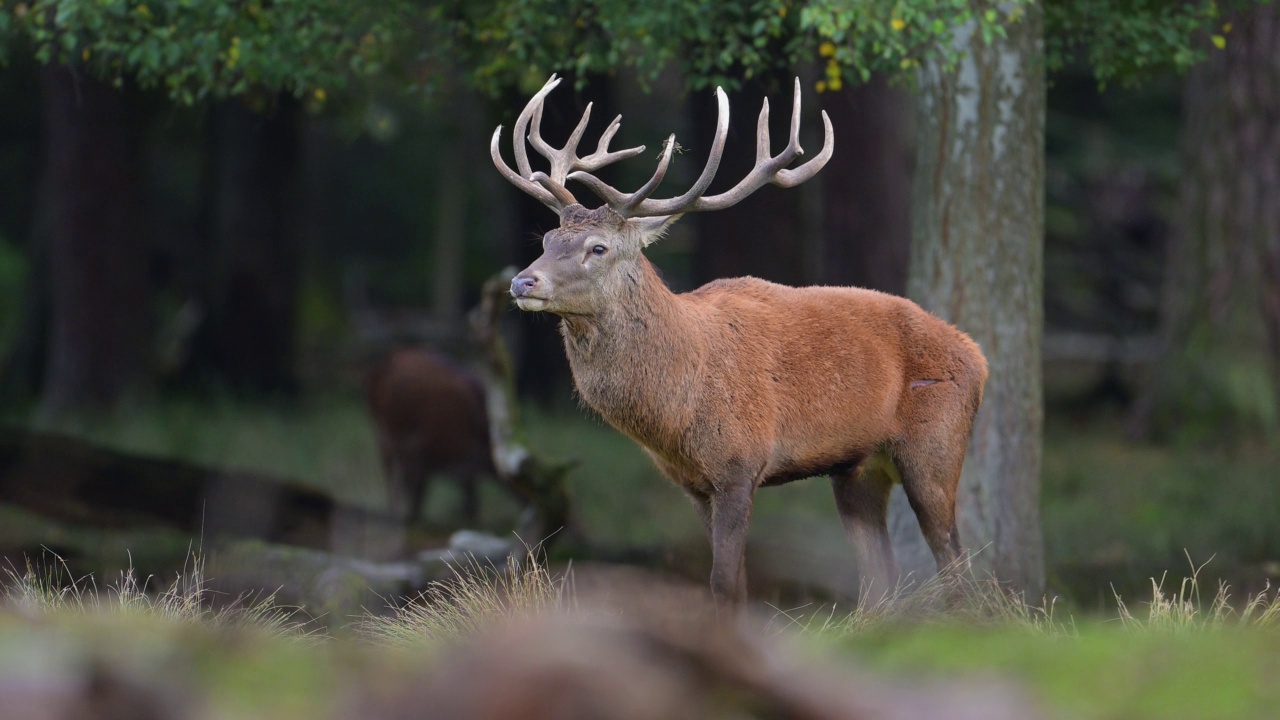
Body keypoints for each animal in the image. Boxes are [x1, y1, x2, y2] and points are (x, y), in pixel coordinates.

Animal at [491, 77, 988, 604]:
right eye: (547, 240)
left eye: (598, 248)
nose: (522, 281)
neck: (677, 407)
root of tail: (977, 356)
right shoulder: (693, 484)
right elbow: (737, 581)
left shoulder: (740, 462)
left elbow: (725, 583)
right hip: (856, 467)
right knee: (882, 577)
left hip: (936, 445)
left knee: (955, 560)